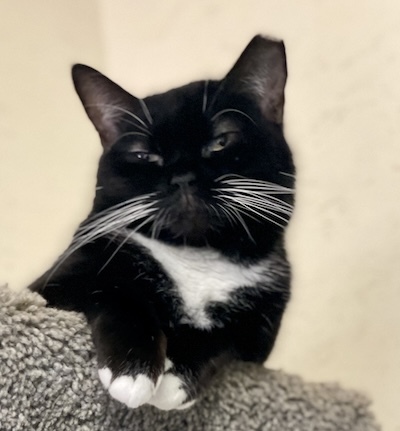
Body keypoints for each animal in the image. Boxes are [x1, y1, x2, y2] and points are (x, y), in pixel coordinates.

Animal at [29, 35, 295, 411]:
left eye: (221, 140)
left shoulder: (259, 332)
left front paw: (175, 379)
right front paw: (133, 371)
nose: (182, 177)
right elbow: (119, 295)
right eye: (143, 155)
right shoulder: (60, 281)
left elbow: (222, 337)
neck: (197, 256)